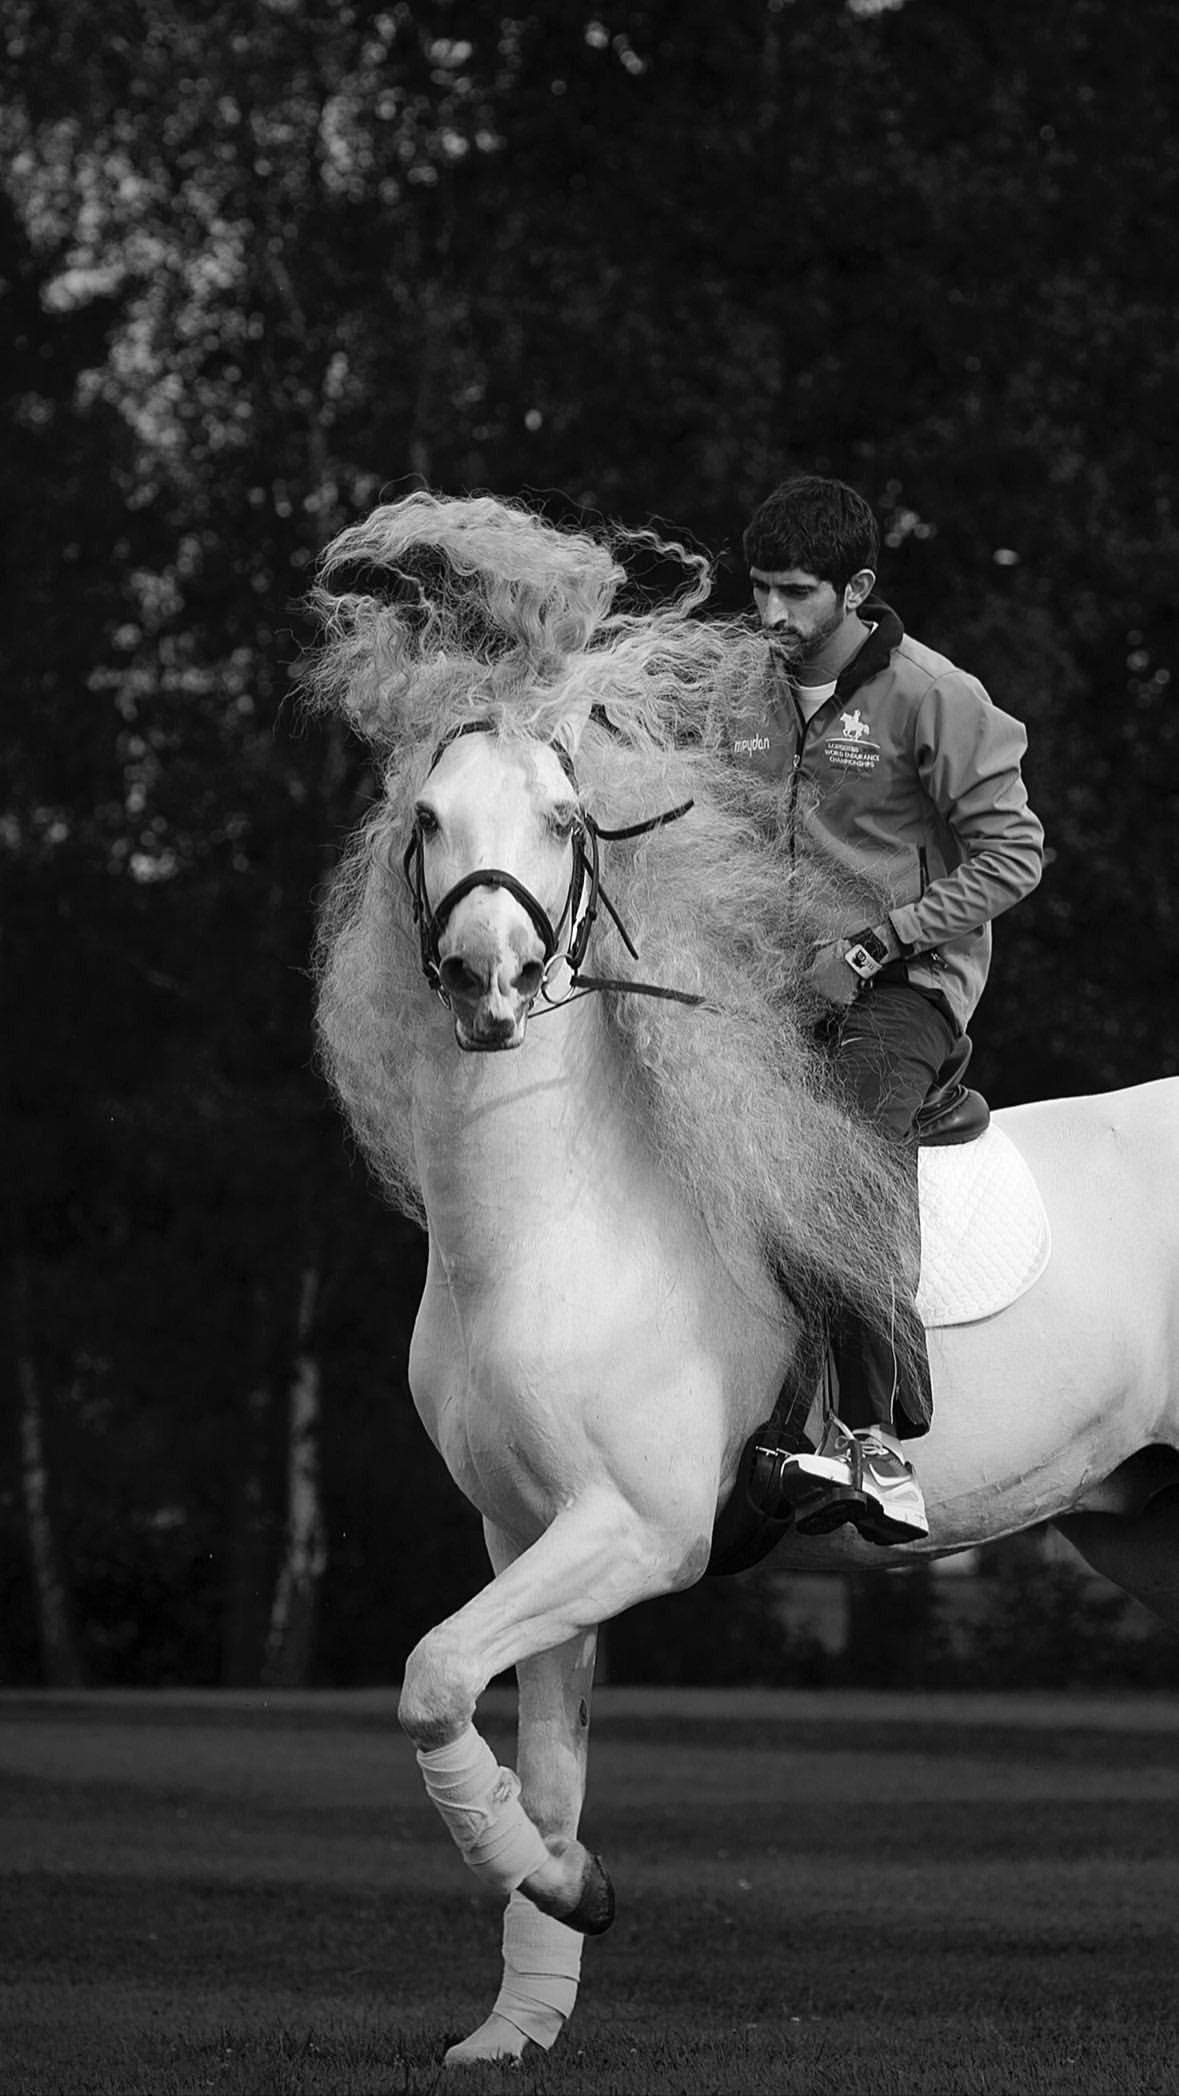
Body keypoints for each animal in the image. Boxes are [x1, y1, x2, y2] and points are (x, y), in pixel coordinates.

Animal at [303, 490, 1179, 2066]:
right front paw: (525, 2002)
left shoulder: (636, 1530)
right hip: (1151, 1524)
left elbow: (428, 1679)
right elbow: (534, 1760)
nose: (484, 982)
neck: (558, 1224)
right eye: (425, 817)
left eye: (567, 821)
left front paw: (574, 1892)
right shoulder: (526, 1535)